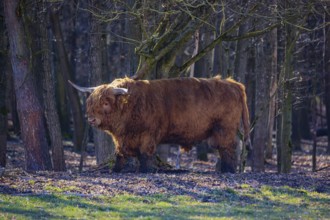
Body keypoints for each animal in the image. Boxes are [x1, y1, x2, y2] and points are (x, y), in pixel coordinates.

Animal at [69, 76, 250, 173]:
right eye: (90, 102)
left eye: (106, 103)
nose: (91, 119)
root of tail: (234, 84)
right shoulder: (122, 138)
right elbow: (120, 153)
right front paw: (116, 170)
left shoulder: (148, 135)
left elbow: (145, 154)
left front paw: (145, 170)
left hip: (224, 129)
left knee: (228, 148)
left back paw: (228, 170)